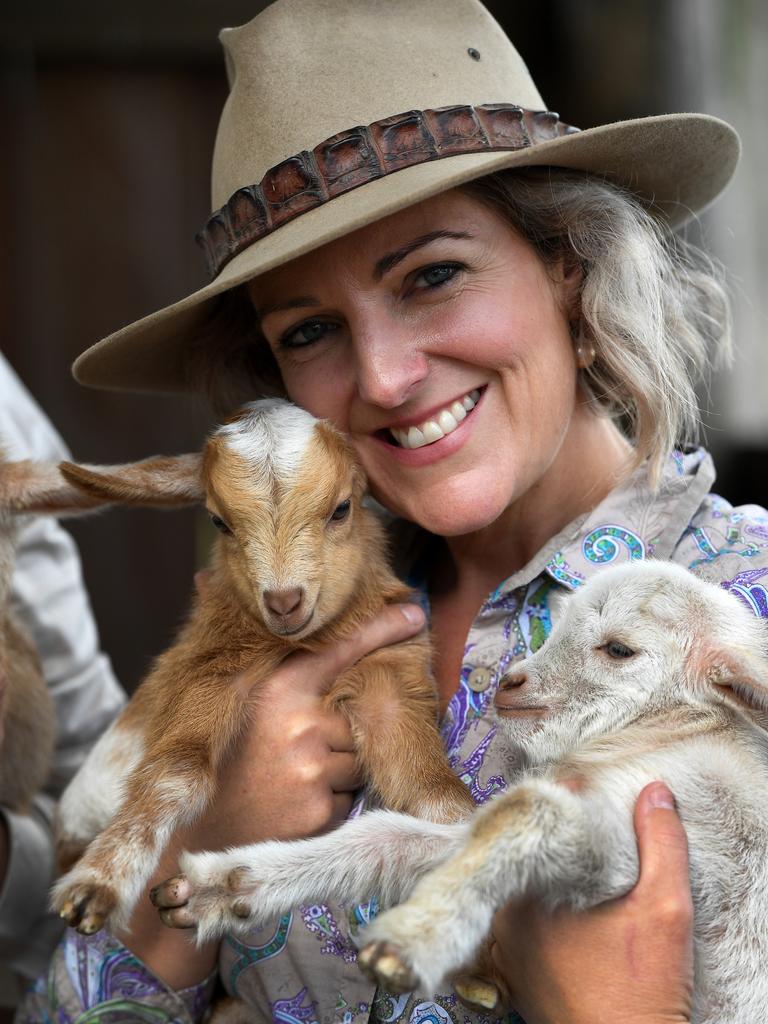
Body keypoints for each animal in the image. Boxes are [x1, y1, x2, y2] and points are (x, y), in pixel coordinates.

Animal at [154, 561, 768, 1024]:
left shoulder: (688, 842)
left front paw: (412, 943)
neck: (665, 734)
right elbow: (392, 836)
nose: (512, 683)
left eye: (619, 649)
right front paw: (226, 885)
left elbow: (524, 808)